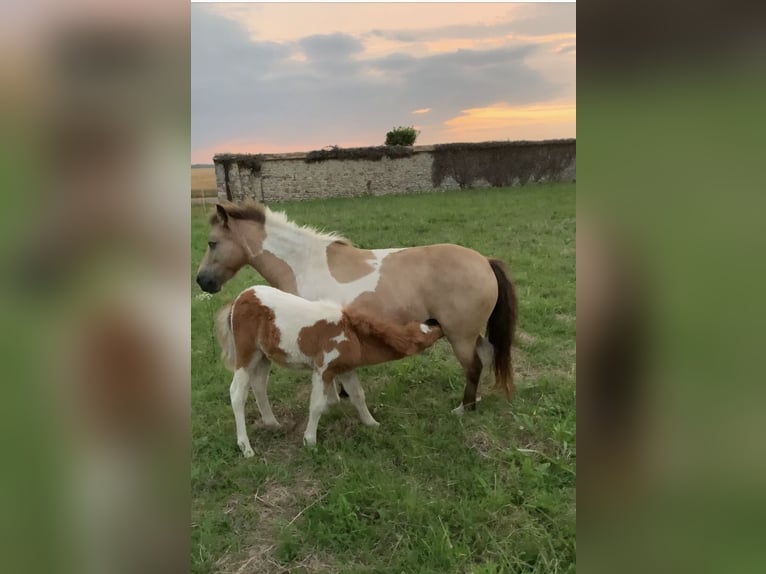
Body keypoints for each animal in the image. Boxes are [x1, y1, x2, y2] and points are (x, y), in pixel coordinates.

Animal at [201, 204, 520, 418]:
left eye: (212, 242)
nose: (202, 281)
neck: (305, 263)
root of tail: (485, 261)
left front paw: (332, 400)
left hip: (460, 337)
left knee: (473, 366)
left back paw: (464, 409)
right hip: (470, 334)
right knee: (487, 354)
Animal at [216, 284, 444, 454]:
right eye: (429, 332)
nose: (436, 320)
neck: (353, 335)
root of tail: (239, 299)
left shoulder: (346, 369)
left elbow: (357, 395)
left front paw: (371, 423)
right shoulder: (323, 370)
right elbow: (316, 405)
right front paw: (310, 441)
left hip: (263, 356)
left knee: (259, 385)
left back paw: (273, 424)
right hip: (246, 354)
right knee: (237, 393)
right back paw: (246, 447)